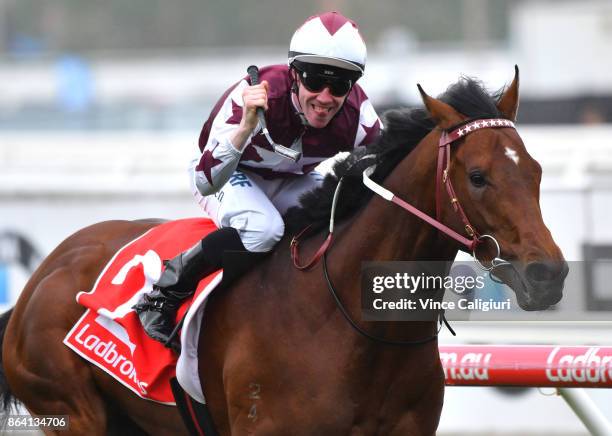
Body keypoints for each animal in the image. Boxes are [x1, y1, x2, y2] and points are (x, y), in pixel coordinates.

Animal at [0, 67, 568, 432]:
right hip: (71, 409)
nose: (548, 275)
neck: (352, 324)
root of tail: (42, 275)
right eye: (478, 177)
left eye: (536, 170)